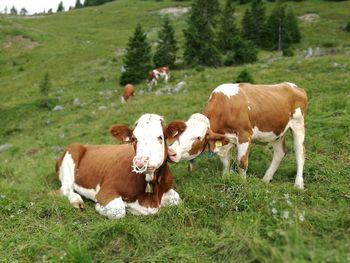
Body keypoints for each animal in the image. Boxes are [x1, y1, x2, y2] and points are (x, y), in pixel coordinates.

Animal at [54, 113, 186, 219]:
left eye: (160, 137)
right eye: (134, 138)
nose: (140, 162)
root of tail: (86, 144)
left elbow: (177, 199)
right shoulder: (105, 191)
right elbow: (118, 211)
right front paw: (101, 207)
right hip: (71, 156)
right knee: (66, 189)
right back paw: (76, 201)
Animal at [168, 83, 308, 189]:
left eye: (198, 137)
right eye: (180, 133)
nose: (171, 152)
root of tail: (293, 86)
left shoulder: (244, 136)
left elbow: (242, 163)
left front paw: (242, 183)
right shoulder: (225, 140)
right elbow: (225, 162)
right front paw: (225, 179)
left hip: (298, 125)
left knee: (300, 153)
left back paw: (298, 184)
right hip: (277, 131)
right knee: (280, 152)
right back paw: (266, 179)